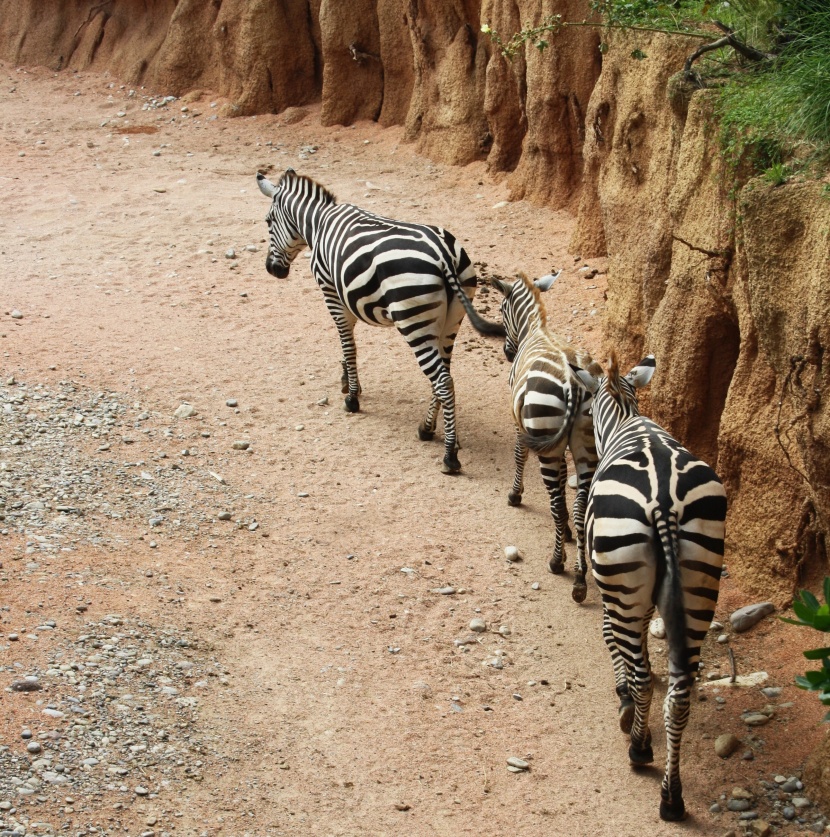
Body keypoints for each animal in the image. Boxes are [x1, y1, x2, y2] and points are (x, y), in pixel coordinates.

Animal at [256, 168, 504, 476]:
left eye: (268, 221)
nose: (272, 270)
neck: (319, 222)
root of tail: (444, 254)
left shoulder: (331, 292)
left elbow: (348, 345)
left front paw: (352, 398)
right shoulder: (345, 298)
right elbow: (347, 344)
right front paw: (347, 381)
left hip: (414, 322)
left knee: (443, 381)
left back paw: (449, 456)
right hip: (450, 322)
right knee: (445, 376)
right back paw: (428, 429)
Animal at [490, 270, 600, 600]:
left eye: (501, 309)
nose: (507, 352)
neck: (536, 330)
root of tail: (576, 383)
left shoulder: (522, 424)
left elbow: (519, 455)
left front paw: (515, 495)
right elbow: (565, 481)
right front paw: (567, 532)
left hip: (546, 439)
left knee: (554, 499)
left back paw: (557, 563)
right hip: (587, 446)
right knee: (579, 506)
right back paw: (579, 578)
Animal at [572, 350, 728, 820]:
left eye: (586, 410)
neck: (625, 415)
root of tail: (664, 501)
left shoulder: (615, 591)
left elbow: (615, 639)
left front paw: (623, 699)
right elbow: (640, 635)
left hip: (624, 576)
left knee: (642, 677)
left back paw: (640, 749)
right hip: (700, 582)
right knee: (680, 696)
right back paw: (671, 797)